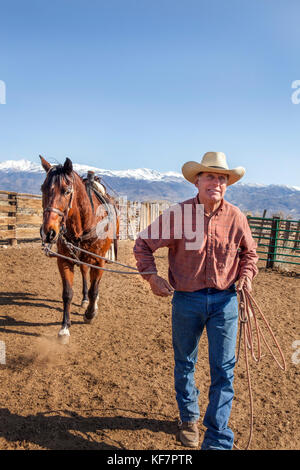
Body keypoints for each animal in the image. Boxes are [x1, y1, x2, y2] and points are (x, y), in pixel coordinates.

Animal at [39, 156, 119, 344]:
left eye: (67, 191)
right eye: (43, 189)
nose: (48, 232)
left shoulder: (98, 260)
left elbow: (94, 289)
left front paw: (90, 313)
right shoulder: (64, 260)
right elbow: (67, 293)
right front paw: (64, 328)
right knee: (83, 272)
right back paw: (84, 299)